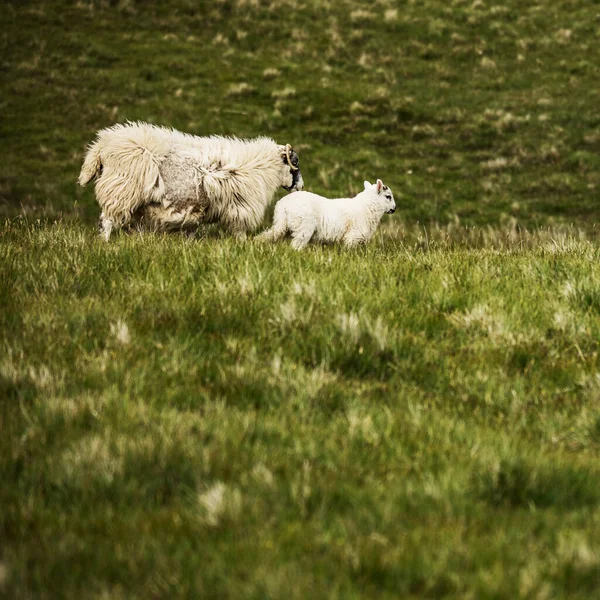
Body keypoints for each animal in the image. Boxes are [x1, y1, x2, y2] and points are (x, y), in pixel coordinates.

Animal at [78, 120, 304, 240]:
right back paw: (106, 243)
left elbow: (191, 232)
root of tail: (101, 145)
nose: (301, 186)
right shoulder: (239, 209)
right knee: (107, 220)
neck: (261, 166)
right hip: (121, 190)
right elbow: (239, 232)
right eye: (295, 162)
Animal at [256, 180, 394, 251]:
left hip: (282, 224)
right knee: (296, 245)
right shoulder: (352, 237)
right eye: (388, 196)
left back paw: (256, 242)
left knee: (269, 234)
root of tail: (284, 205)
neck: (368, 207)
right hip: (303, 228)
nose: (394, 209)